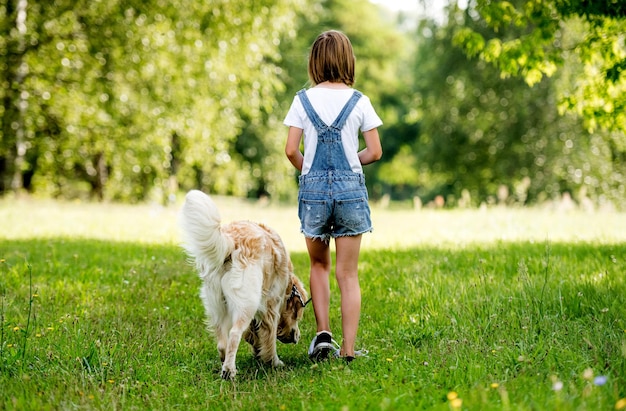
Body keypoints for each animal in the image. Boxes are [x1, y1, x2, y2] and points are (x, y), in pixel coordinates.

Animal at [178, 190, 308, 380]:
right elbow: (269, 337)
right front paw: (274, 362)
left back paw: (225, 362)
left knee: (222, 343)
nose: (298, 336)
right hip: (247, 303)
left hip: (216, 302)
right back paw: (229, 371)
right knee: (234, 334)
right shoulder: (271, 305)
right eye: (298, 316)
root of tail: (231, 242)